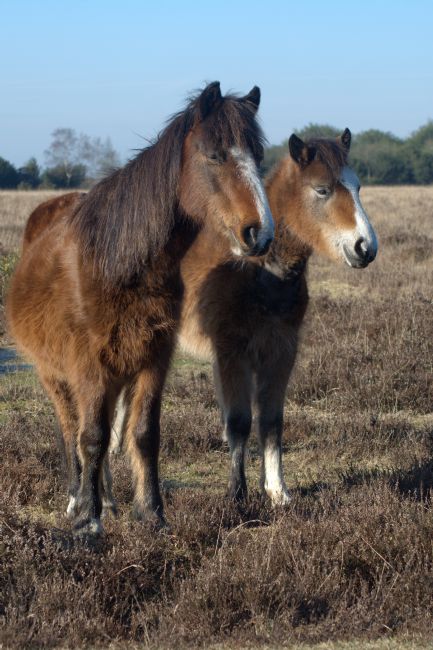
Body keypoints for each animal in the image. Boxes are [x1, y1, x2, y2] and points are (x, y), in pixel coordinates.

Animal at [6, 81, 275, 536]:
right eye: (215, 155)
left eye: (257, 156)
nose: (260, 233)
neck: (123, 264)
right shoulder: (89, 366)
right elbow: (92, 437)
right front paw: (88, 522)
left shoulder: (154, 358)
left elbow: (144, 434)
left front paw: (151, 513)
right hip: (54, 374)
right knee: (70, 430)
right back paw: (78, 498)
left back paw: (110, 500)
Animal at [110, 129, 378, 506]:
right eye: (322, 189)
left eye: (357, 187)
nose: (365, 247)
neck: (260, 272)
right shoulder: (231, 352)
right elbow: (239, 421)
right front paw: (237, 494)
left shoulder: (281, 352)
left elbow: (271, 421)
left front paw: (278, 492)